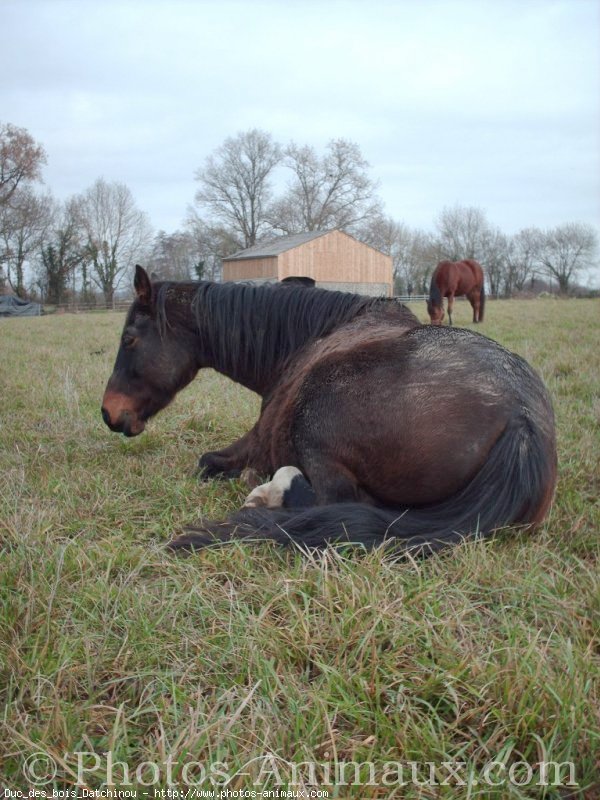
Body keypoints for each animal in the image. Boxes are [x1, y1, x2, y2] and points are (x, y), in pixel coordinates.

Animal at [101, 266, 556, 552]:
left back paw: (269, 493)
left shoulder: (255, 443)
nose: (109, 412)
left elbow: (206, 462)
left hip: (315, 424)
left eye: (129, 340)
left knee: (332, 504)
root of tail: (521, 419)